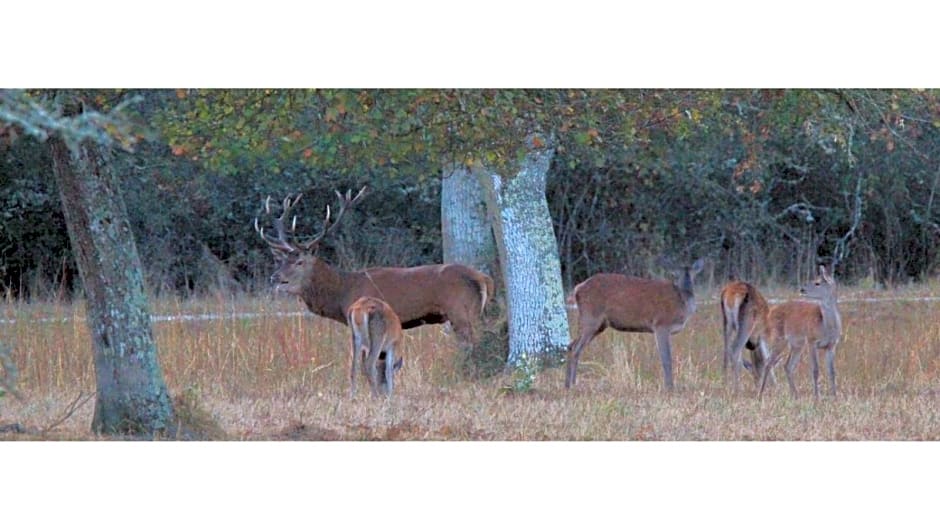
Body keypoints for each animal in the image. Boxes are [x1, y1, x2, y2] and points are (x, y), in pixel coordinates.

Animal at [253, 187, 496, 350]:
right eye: (281, 261)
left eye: (299, 262)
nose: (275, 278)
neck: (342, 293)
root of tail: (483, 278)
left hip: (461, 311)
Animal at [564, 258, 704, 390]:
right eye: (677, 275)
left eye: (693, 275)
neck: (681, 300)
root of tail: (578, 289)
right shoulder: (661, 324)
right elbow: (666, 359)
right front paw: (669, 387)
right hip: (591, 318)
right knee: (576, 348)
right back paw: (572, 384)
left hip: (599, 324)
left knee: (571, 345)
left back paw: (568, 385)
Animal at [756, 266, 844, 398]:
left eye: (817, 283)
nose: (802, 289)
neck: (825, 325)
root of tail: (769, 312)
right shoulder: (811, 340)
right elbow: (815, 370)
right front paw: (817, 397)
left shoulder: (831, 345)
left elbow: (832, 372)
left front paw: (835, 396)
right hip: (779, 338)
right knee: (768, 362)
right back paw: (760, 394)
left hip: (797, 344)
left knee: (787, 365)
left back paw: (795, 395)